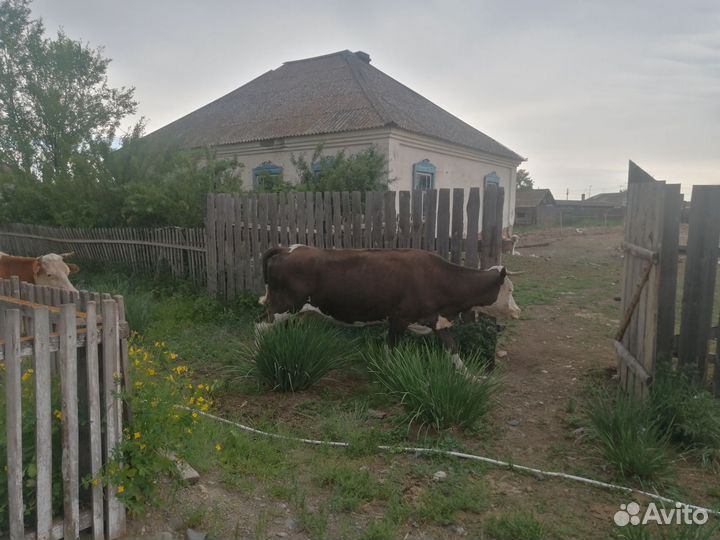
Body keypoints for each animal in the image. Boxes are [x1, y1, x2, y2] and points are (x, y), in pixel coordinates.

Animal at [260, 245, 520, 347]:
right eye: (510, 290)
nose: (517, 311)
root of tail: (287, 249)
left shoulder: (437, 321)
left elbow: (454, 351)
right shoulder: (398, 319)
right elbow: (392, 350)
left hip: (299, 311)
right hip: (282, 306)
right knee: (261, 327)